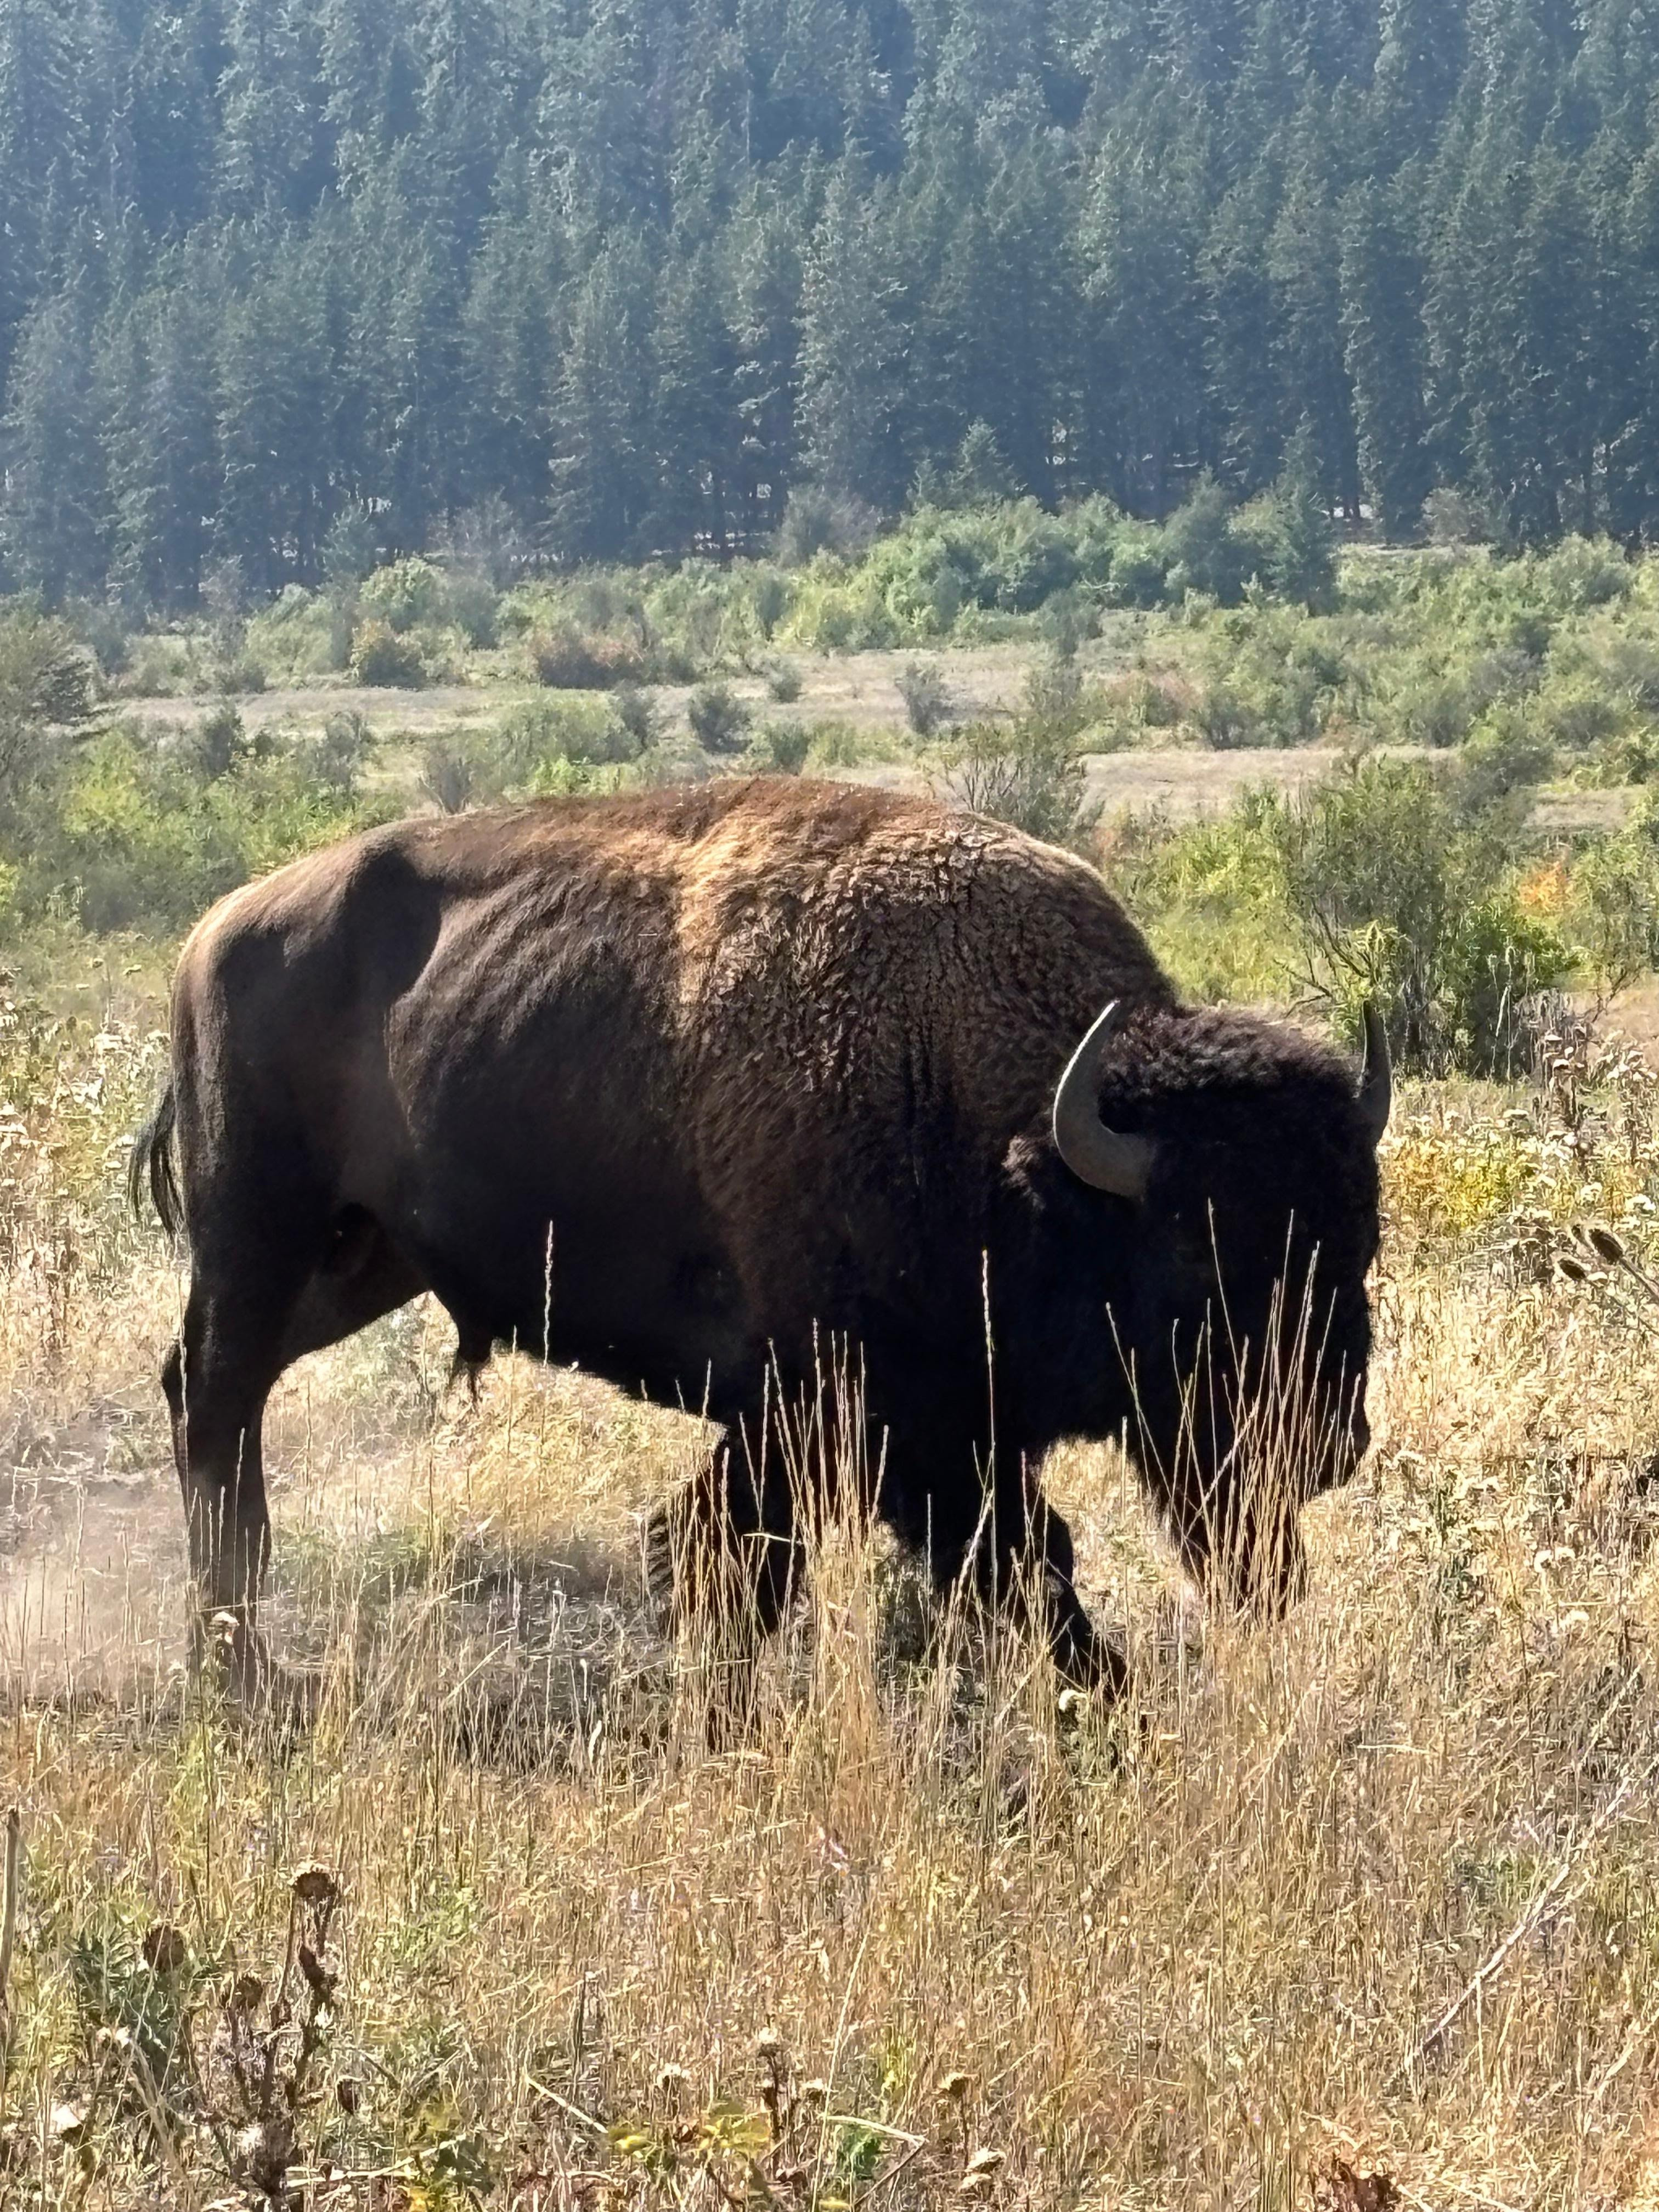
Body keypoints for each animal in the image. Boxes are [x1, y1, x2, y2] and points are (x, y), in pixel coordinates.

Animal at [132, 778, 1388, 1694]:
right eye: (1195, 1255)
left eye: (1360, 1243)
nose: (1325, 1440)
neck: (1002, 1128)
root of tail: (211, 934)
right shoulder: (854, 1415)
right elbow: (970, 1566)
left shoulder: (905, 1425)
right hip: (260, 1238)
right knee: (216, 1401)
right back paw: (233, 1663)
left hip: (363, 1258)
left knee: (214, 1391)